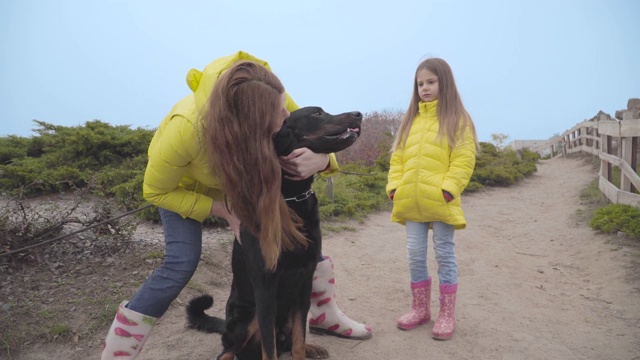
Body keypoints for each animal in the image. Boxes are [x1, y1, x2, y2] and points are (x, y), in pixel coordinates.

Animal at [188, 105, 362, 358]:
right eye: (316, 113)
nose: (359, 114)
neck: (291, 197)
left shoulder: (305, 280)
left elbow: (299, 339)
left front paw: (304, 348)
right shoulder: (266, 288)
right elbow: (268, 349)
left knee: (288, 341)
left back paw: (312, 347)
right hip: (247, 318)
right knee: (229, 348)